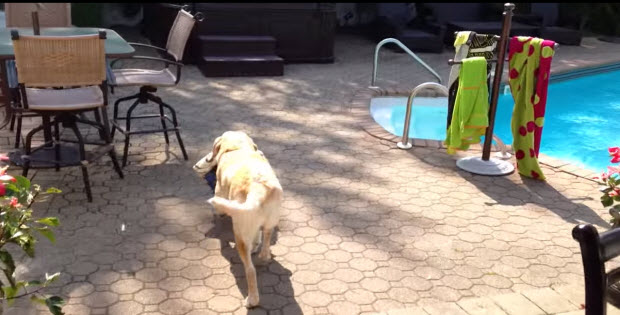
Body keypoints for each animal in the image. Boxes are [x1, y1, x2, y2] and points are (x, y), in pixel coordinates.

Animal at [193, 131, 282, 308]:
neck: (237, 147)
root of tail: (258, 189)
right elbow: (257, 235)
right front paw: (255, 244)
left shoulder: (219, 192)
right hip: (268, 223)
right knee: (265, 243)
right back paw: (262, 254)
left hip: (239, 233)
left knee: (250, 270)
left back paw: (252, 300)